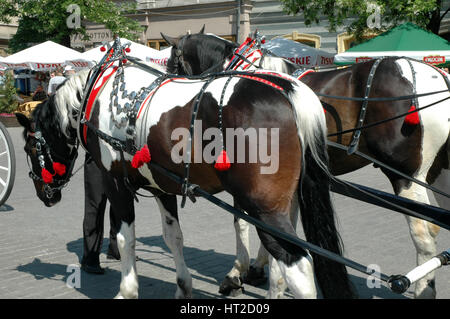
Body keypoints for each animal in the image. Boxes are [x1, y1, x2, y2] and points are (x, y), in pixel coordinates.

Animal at [14, 40, 356, 300]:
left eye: (29, 147)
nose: (45, 194)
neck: (100, 93)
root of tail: (288, 88)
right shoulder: (161, 186)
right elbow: (173, 237)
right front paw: (183, 286)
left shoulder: (117, 183)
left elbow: (126, 239)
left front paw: (127, 290)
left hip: (265, 209)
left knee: (297, 266)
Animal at [163, 30, 450, 300]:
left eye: (172, 62)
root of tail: (437, 75)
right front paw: (259, 266)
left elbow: (242, 222)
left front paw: (236, 273)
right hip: (438, 171)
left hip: (406, 175)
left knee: (425, 232)